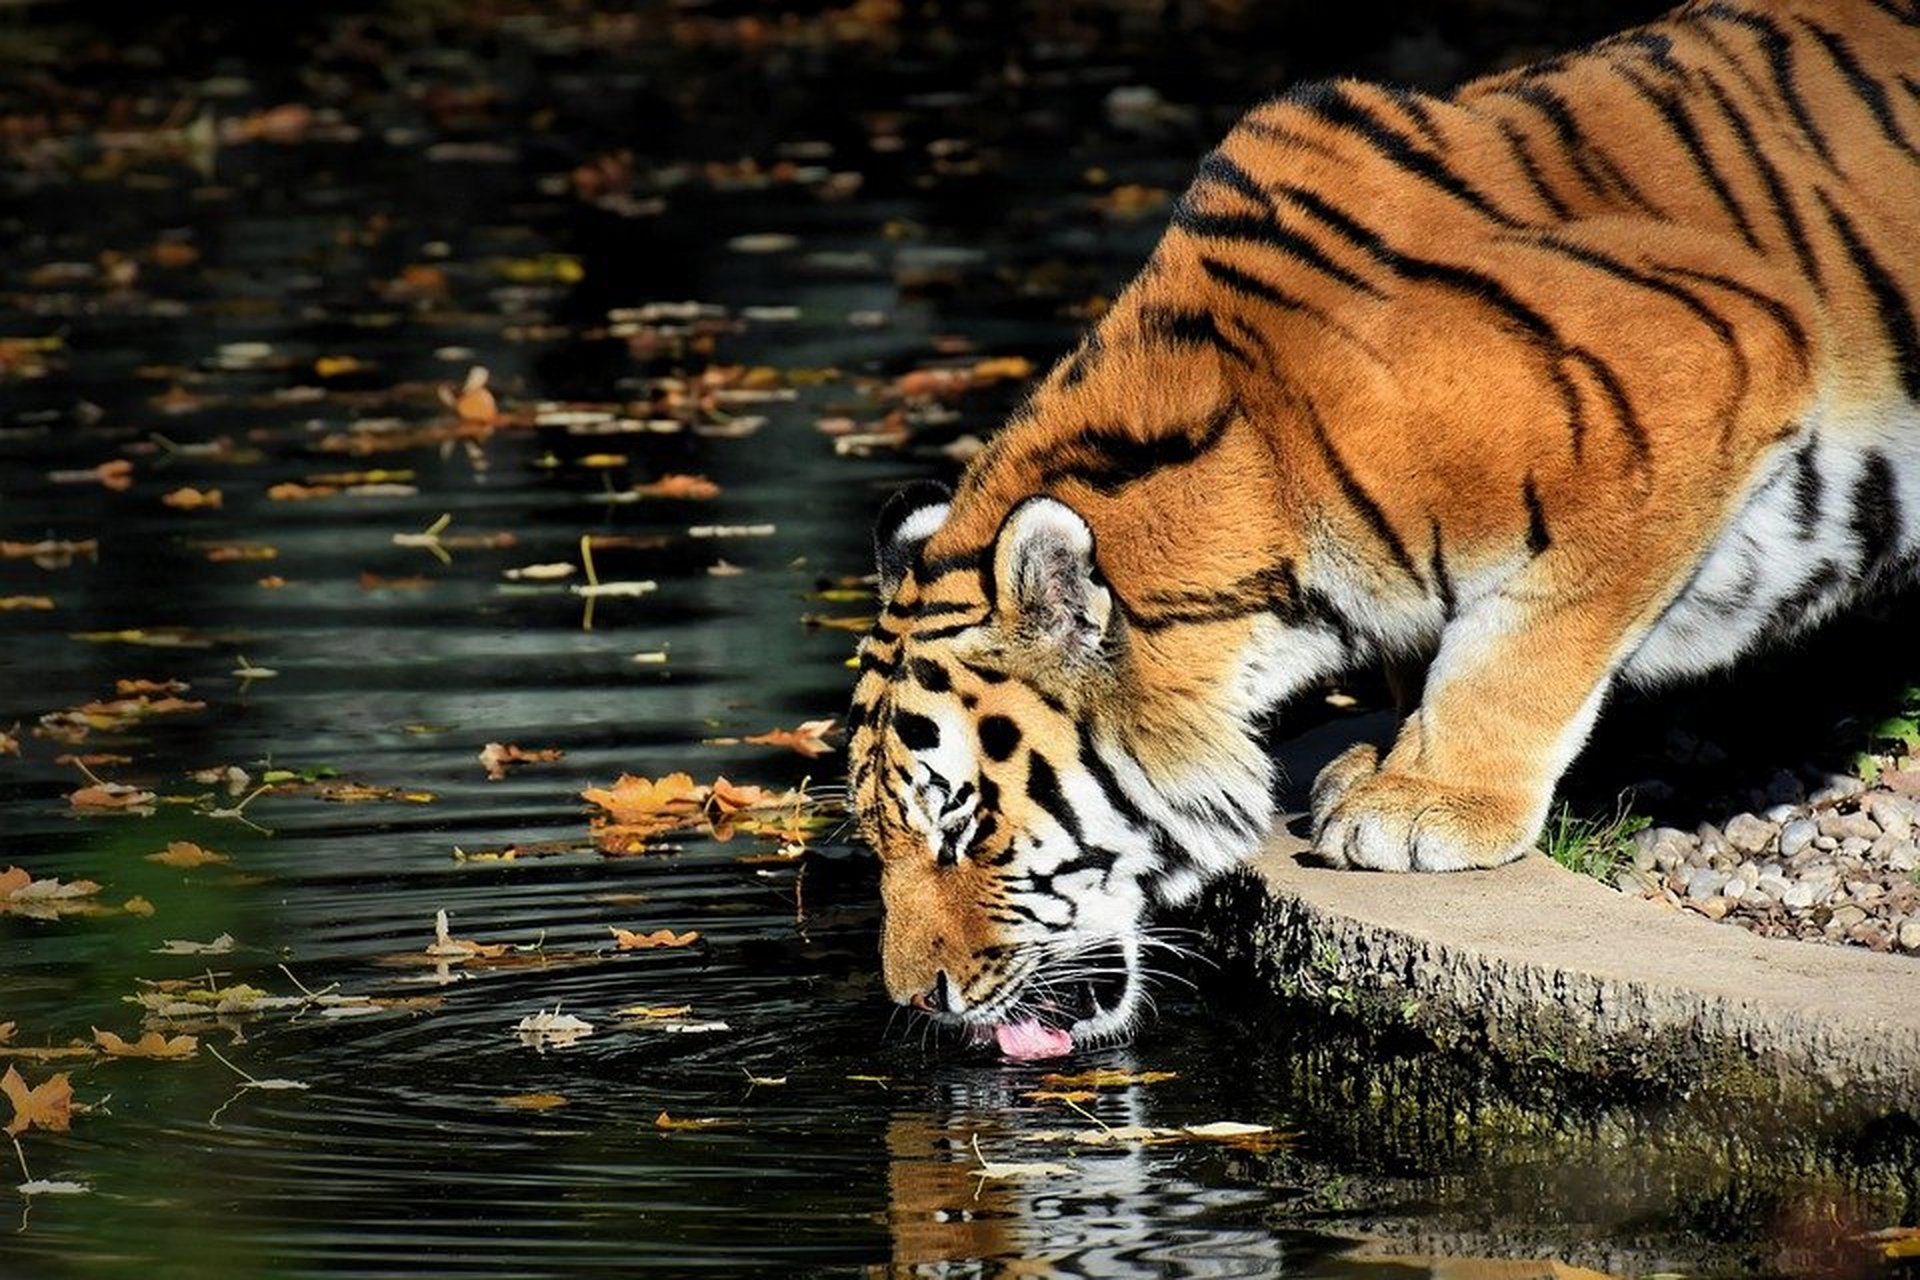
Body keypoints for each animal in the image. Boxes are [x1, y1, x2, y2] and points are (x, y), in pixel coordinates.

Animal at [848, 0, 1920, 1059]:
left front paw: (1433, 801)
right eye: (876, 834)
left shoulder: (1702, 365)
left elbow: (1525, 645)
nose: (916, 999)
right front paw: (1385, 759)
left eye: (961, 830)